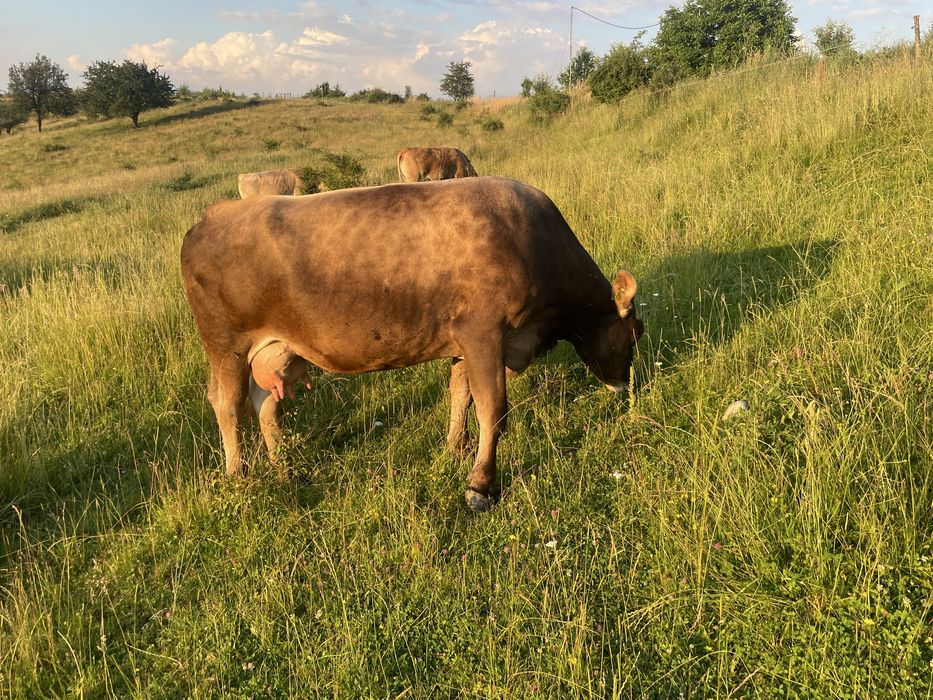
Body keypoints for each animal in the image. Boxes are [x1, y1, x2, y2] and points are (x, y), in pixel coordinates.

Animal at [180, 176, 643, 512]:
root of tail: (212, 214)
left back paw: (286, 471)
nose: (628, 387)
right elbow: (493, 410)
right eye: (635, 333)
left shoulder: (463, 341)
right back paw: (239, 476)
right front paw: (481, 485)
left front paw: (455, 448)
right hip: (226, 344)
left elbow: (461, 394)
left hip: (276, 349)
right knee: (227, 403)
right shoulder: (483, 333)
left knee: (265, 405)